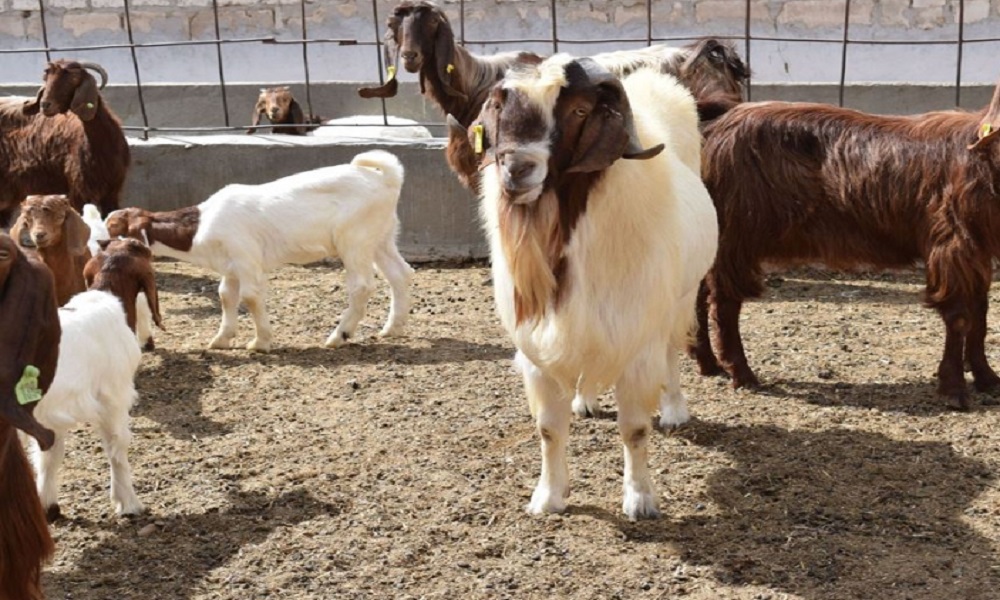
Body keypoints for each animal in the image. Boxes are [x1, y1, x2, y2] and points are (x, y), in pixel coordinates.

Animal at [104, 150, 410, 354]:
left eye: (113, 227)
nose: (100, 247)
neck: (201, 225)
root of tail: (387, 180)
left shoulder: (246, 258)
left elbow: (250, 296)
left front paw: (260, 342)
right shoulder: (230, 266)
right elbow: (226, 296)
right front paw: (221, 339)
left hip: (355, 240)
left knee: (362, 285)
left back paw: (339, 335)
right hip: (381, 237)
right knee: (399, 274)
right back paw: (393, 327)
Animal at [470, 56, 720, 516]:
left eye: (580, 110)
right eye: (498, 106)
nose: (516, 170)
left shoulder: (638, 343)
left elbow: (635, 430)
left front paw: (640, 500)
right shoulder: (539, 350)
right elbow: (549, 430)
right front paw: (548, 497)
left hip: (677, 301)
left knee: (672, 354)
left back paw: (674, 410)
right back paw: (584, 400)